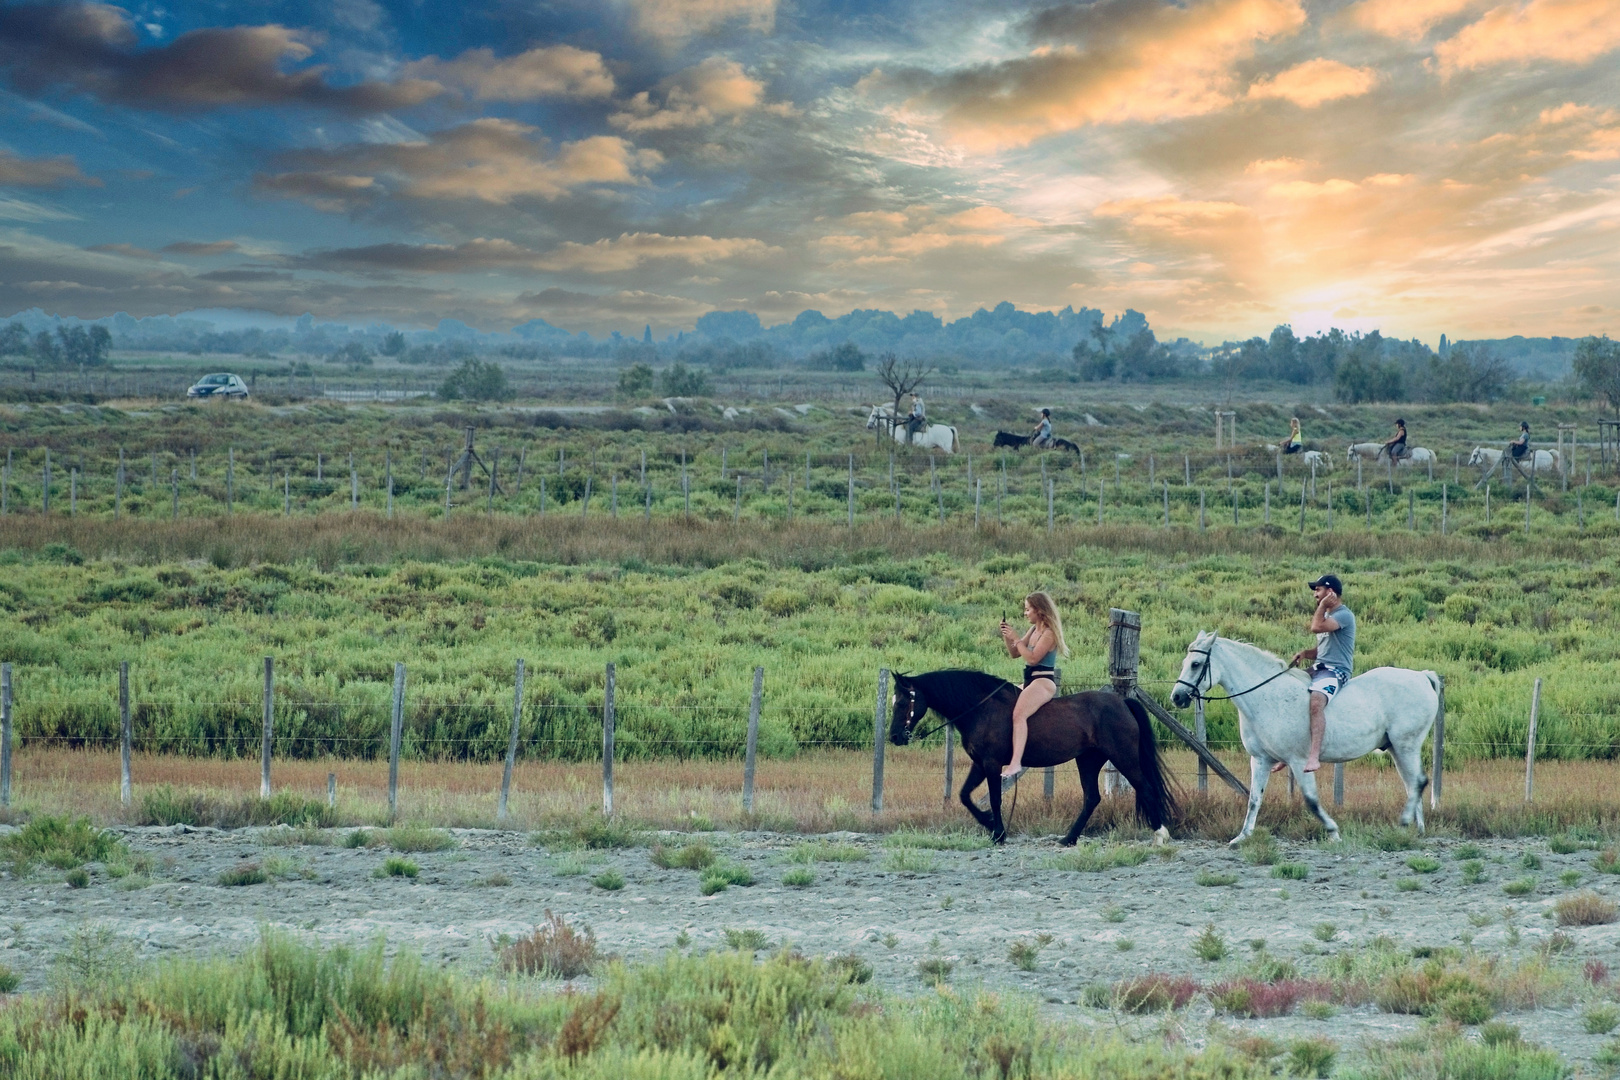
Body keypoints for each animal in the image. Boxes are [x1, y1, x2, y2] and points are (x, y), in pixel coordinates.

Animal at [887, 670, 1179, 848]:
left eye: (901, 703)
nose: (894, 737)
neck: (981, 709)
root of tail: (1121, 703)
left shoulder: (992, 764)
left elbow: (994, 799)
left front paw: (998, 832)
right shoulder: (979, 764)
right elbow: (964, 796)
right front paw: (989, 823)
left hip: (1123, 757)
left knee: (1146, 788)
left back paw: (1160, 834)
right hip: (1088, 761)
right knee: (1092, 798)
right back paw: (1068, 838)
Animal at [1166, 634, 1445, 841]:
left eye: (1195, 664)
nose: (1177, 697)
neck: (1267, 697)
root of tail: (1422, 676)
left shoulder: (1299, 762)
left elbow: (1311, 801)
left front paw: (1333, 832)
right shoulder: (1260, 760)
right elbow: (1254, 799)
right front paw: (1242, 837)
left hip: (1406, 745)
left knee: (1418, 782)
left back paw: (1405, 824)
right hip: (1397, 748)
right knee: (1413, 784)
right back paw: (1416, 830)